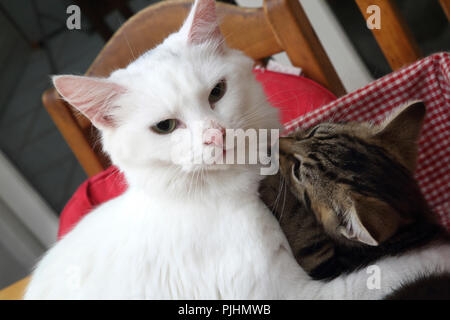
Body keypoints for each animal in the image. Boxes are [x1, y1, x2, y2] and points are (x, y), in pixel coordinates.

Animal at [258, 101, 448, 278]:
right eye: (313, 131)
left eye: (296, 170)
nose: (274, 143)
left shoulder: (330, 269)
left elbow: (301, 224)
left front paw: (271, 182)